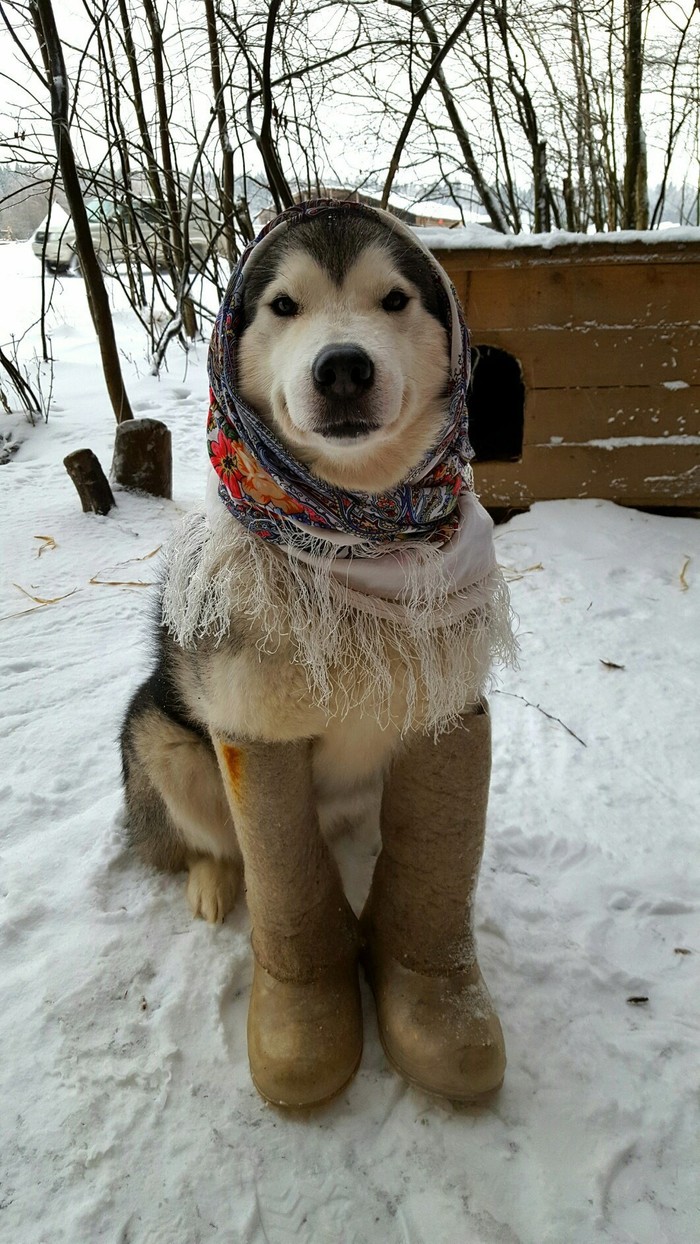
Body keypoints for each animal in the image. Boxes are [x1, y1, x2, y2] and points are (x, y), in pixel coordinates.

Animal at [121, 204, 514, 1109]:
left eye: (394, 299)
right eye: (284, 306)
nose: (341, 368)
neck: (357, 537)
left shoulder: (449, 707)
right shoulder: (252, 727)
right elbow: (283, 873)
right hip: (160, 738)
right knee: (210, 840)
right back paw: (212, 881)